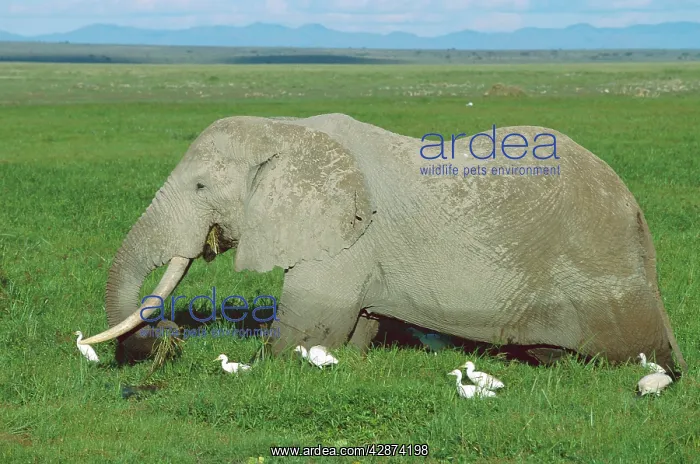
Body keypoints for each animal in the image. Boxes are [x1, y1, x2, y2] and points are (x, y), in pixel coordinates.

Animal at [79, 113, 687, 374]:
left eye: (201, 187)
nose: (170, 335)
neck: (285, 128)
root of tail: (636, 215)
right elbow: (354, 327)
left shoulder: (347, 237)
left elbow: (306, 327)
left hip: (601, 273)